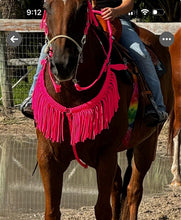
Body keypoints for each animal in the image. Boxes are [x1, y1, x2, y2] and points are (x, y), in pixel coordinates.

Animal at [33, 0, 174, 219]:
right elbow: (52, 210)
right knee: (118, 186)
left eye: (83, 8)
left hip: (147, 142)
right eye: (46, 6)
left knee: (133, 191)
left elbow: (102, 209)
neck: (72, 98)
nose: (62, 64)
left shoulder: (106, 154)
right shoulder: (47, 155)